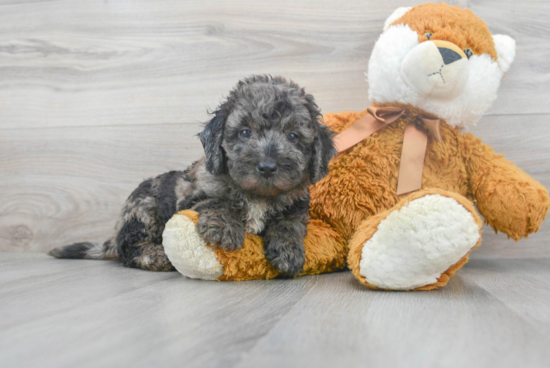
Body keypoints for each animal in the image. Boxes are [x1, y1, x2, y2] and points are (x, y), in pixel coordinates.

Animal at [50, 75, 336, 276]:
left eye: (293, 136)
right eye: (245, 132)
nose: (266, 166)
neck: (257, 194)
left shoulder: (296, 206)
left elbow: (288, 223)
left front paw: (288, 251)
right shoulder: (194, 196)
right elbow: (218, 201)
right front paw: (224, 228)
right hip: (145, 208)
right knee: (126, 246)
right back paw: (157, 255)